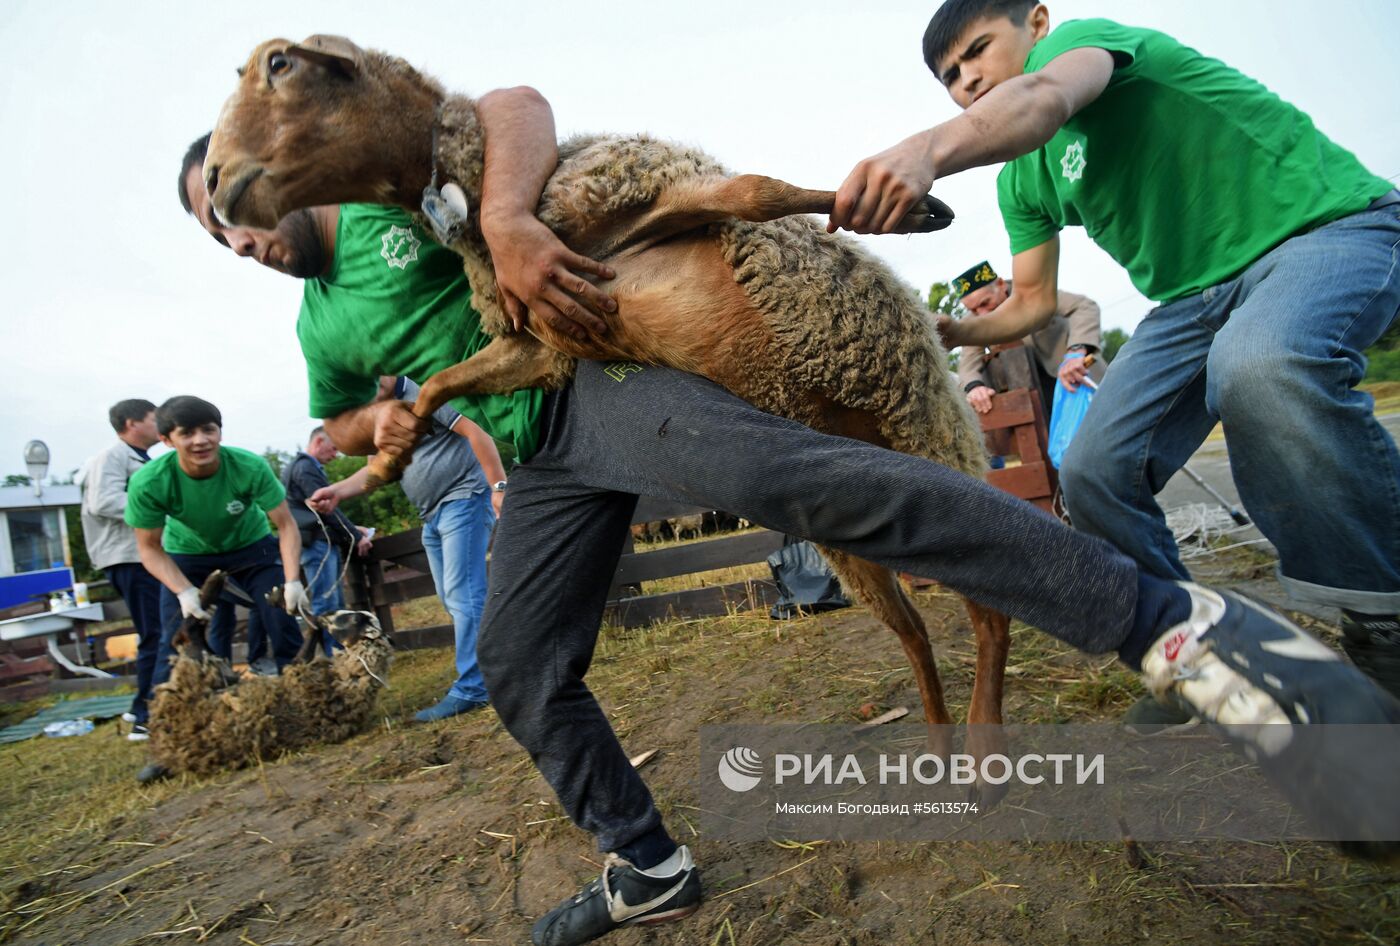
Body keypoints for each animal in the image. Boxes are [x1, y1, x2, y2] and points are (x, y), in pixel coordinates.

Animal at [204, 33, 1019, 789]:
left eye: (279, 63)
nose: (212, 183)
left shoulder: (651, 205)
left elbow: (755, 191)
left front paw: (912, 210)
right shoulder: (544, 334)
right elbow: (443, 381)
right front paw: (386, 454)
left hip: (926, 426)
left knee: (988, 606)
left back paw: (983, 743)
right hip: (852, 527)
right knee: (913, 628)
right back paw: (943, 742)